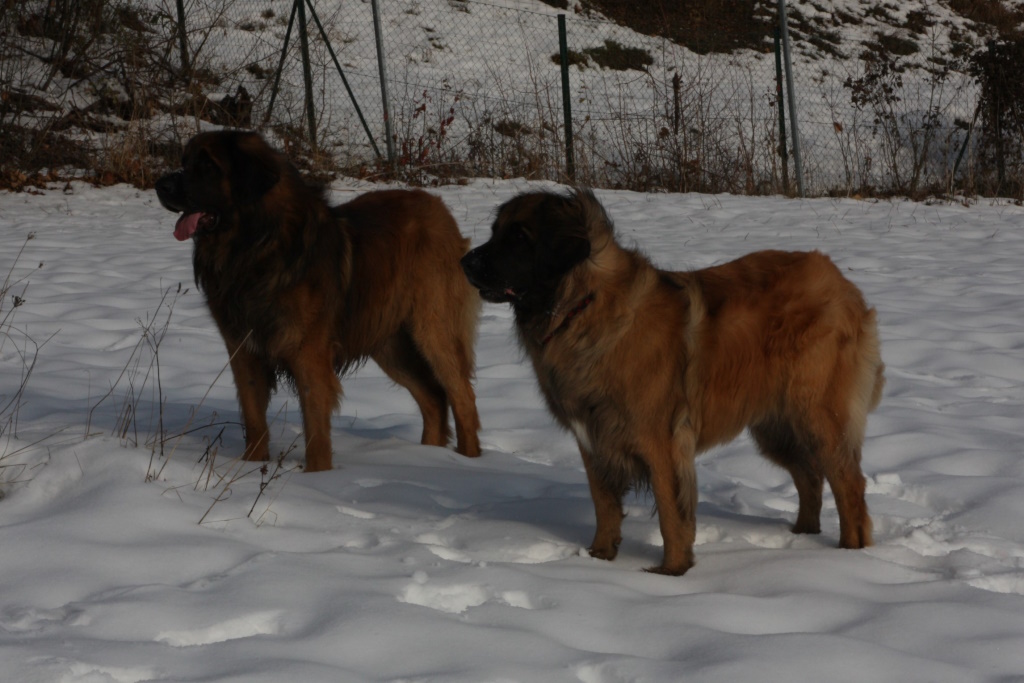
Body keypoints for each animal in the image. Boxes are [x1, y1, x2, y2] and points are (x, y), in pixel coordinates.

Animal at [153, 132, 481, 475]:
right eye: (185, 161)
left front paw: (317, 477)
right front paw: (250, 467)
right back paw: (429, 457)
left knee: (462, 397)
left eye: (207, 165)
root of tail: (440, 209)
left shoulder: (308, 355)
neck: (253, 248)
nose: (160, 185)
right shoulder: (244, 351)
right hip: (389, 343)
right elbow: (255, 420)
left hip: (433, 331)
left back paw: (469, 462)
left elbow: (315, 429)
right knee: (433, 398)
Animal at [460, 188, 884, 577]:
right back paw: (802, 537)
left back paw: (848, 555)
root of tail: (841, 282)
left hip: (817, 415)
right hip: (776, 425)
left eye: (519, 237)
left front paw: (672, 572)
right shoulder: (593, 438)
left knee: (849, 485)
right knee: (810, 476)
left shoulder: (660, 441)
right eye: (495, 232)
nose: (464, 261)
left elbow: (670, 510)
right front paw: (598, 559)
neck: (582, 307)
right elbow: (603, 503)